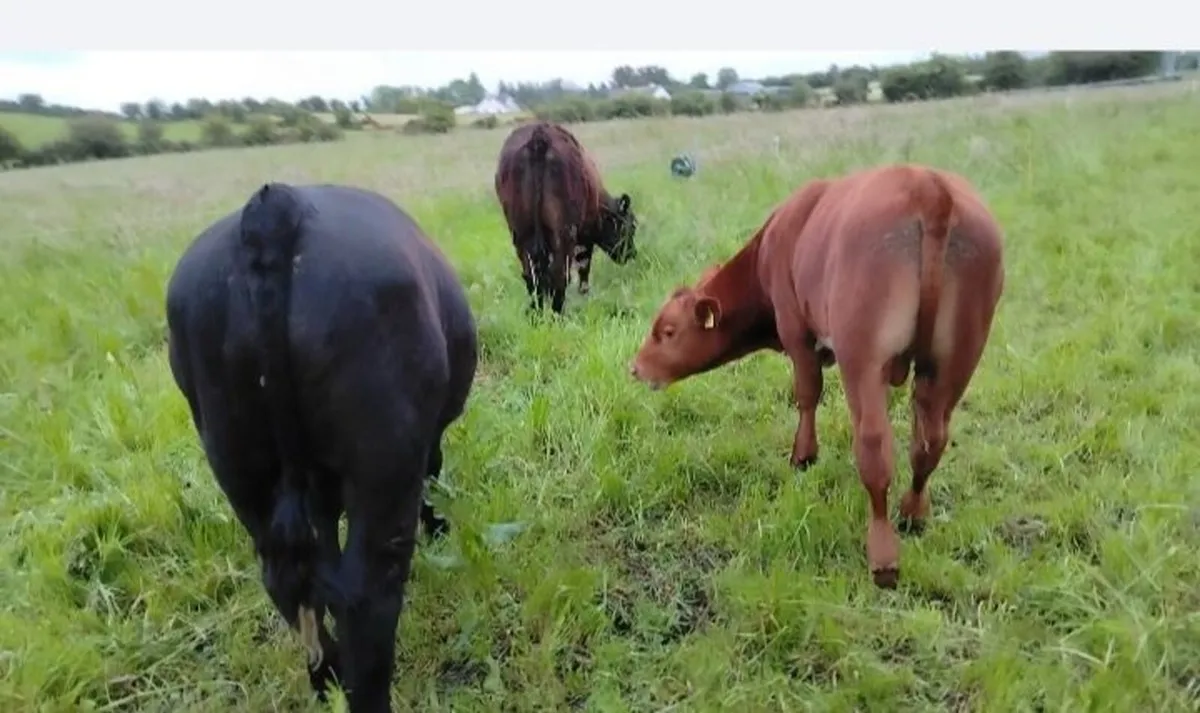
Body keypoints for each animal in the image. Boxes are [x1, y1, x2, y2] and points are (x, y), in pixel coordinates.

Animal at [165, 182, 479, 712]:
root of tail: (275, 208)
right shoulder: (419, 445)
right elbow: (432, 473)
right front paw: (437, 526)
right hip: (383, 461)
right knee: (367, 599)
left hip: (240, 467)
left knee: (288, 580)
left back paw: (325, 673)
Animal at [494, 120, 639, 313]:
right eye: (631, 226)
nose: (632, 254)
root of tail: (539, 137)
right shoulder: (585, 236)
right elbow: (584, 267)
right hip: (564, 233)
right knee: (560, 274)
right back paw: (559, 312)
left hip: (520, 232)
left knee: (531, 275)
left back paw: (537, 312)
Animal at [628, 164, 1005, 589]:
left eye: (668, 331)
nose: (635, 367)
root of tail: (928, 185)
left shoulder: (796, 331)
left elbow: (807, 394)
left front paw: (803, 456)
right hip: (955, 360)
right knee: (930, 440)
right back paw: (913, 513)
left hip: (862, 358)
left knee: (874, 449)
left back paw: (884, 558)